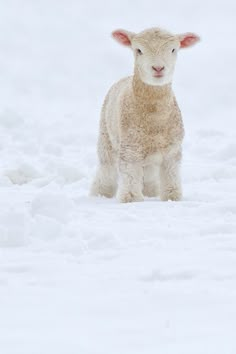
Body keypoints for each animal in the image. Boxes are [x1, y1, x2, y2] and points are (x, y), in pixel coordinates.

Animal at [90, 27, 199, 205]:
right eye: (138, 50)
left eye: (173, 50)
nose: (158, 68)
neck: (155, 118)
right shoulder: (130, 147)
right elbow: (129, 175)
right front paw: (131, 199)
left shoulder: (173, 149)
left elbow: (171, 174)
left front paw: (172, 197)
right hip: (106, 136)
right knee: (107, 168)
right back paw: (100, 194)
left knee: (148, 173)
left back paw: (150, 193)